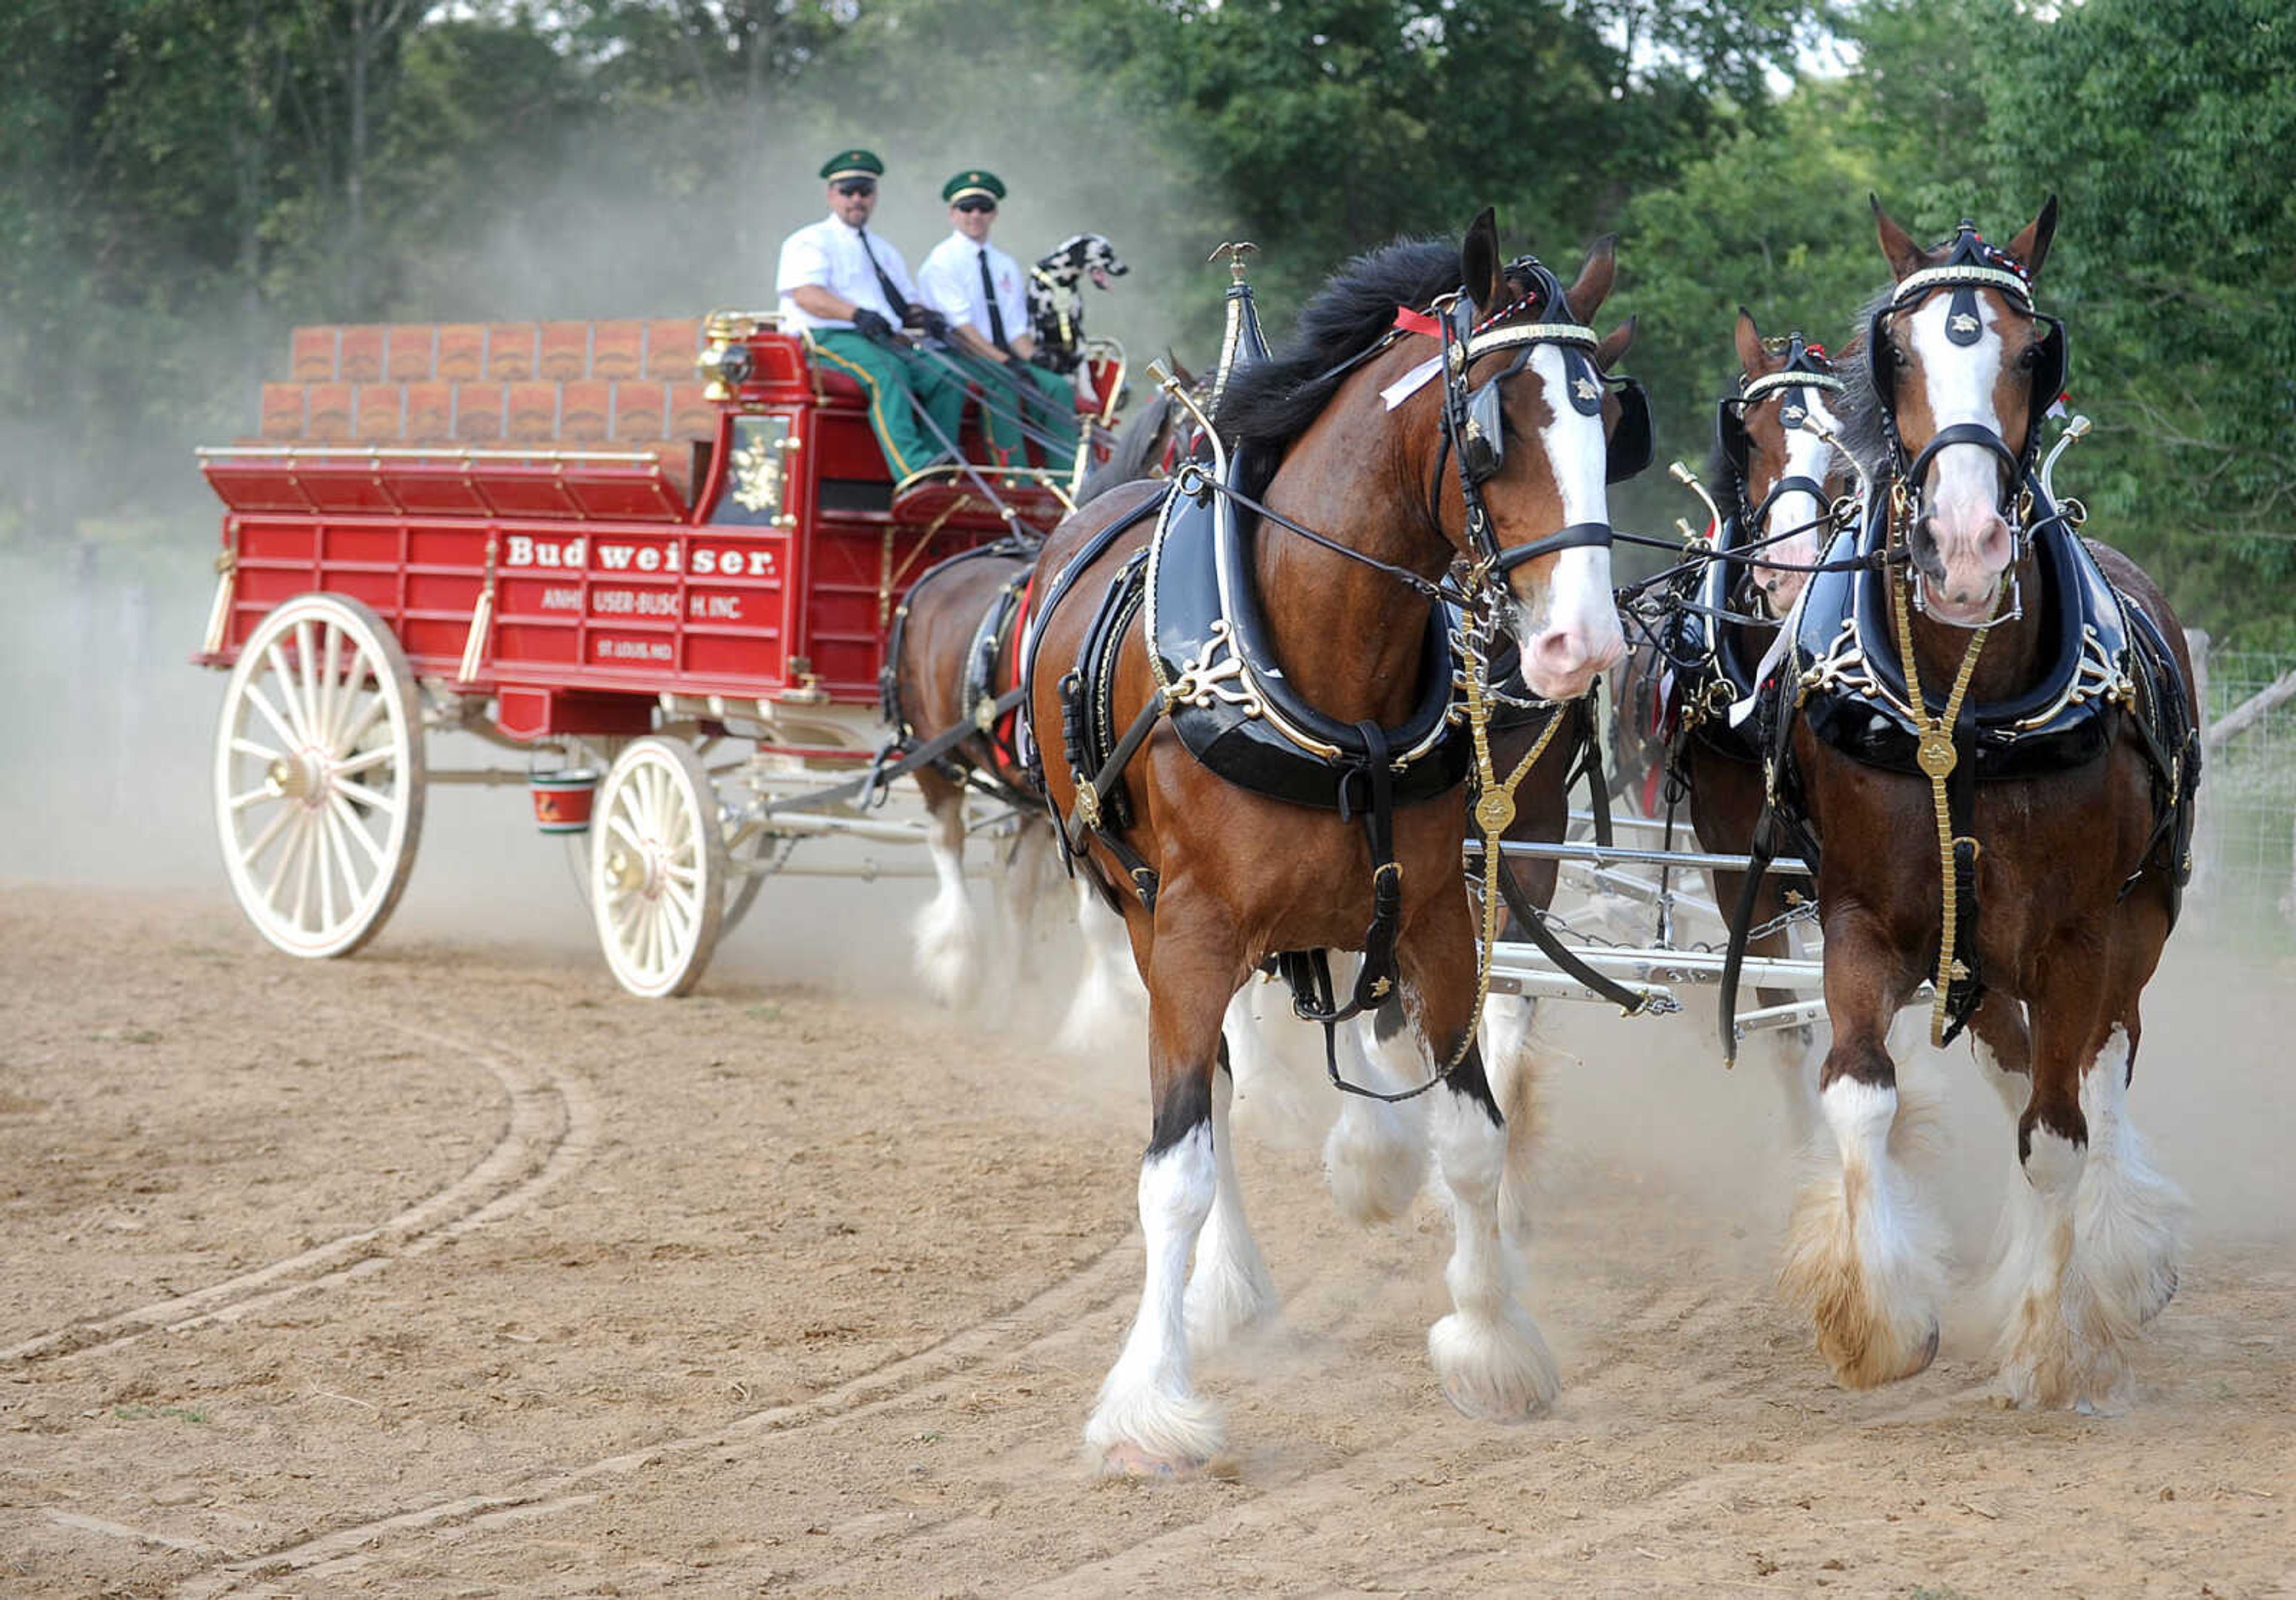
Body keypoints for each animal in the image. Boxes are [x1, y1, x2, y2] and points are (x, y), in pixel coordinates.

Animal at [1028, 233, 1125, 376]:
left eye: (1111, 251)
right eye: (1104, 253)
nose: (1125, 269)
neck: (1061, 281)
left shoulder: (1076, 325)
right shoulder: (1037, 322)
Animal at [1763, 196, 2195, 1396]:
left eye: (2029, 353)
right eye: (1899, 352)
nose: (1962, 548)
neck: (1968, 718)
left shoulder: (2078, 937)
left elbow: (2059, 1135)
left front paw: (2048, 1341)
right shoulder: (1862, 917)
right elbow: (1860, 1093)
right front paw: (1879, 1318)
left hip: (2136, 924)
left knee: (2100, 1069)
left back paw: (2119, 1257)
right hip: (1975, 951)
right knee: (2015, 1060)